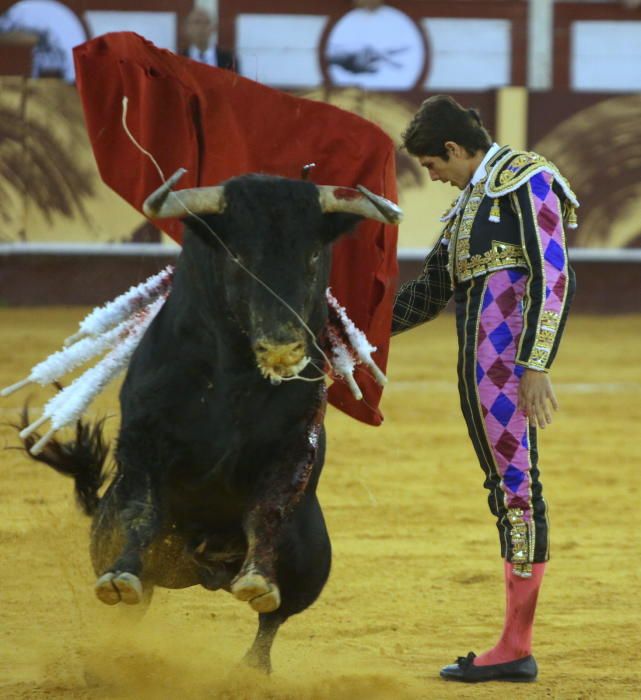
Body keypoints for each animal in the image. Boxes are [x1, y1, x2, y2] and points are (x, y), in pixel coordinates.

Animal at [20, 171, 398, 672]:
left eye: (313, 255)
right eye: (238, 255)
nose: (283, 345)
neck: (234, 376)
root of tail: (206, 570)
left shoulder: (294, 445)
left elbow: (267, 510)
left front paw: (258, 578)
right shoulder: (142, 437)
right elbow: (141, 508)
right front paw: (120, 575)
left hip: (314, 556)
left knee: (273, 617)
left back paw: (251, 669)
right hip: (111, 538)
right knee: (136, 599)